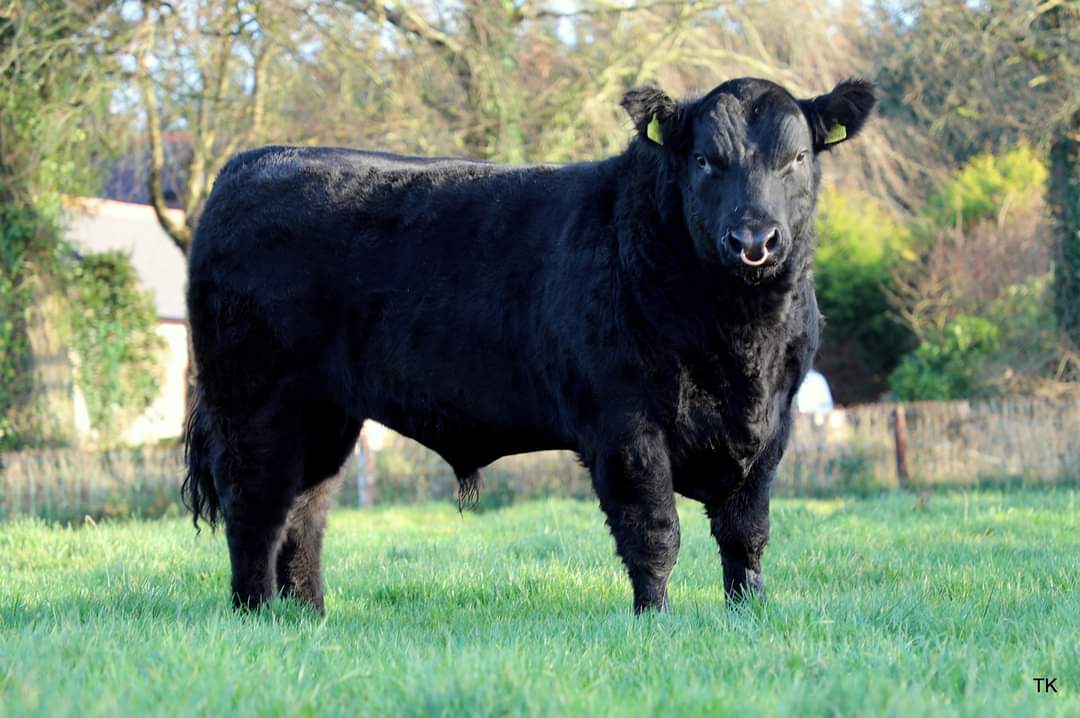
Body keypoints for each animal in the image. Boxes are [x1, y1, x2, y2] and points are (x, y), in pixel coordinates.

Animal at [184, 76, 876, 614]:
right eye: (706, 160)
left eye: (797, 159)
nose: (754, 239)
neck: (740, 340)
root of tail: (253, 162)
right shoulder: (626, 422)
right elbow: (654, 531)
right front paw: (654, 619)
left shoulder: (773, 423)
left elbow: (745, 533)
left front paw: (747, 613)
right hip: (254, 399)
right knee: (256, 506)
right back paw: (255, 612)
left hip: (325, 415)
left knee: (305, 511)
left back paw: (308, 614)